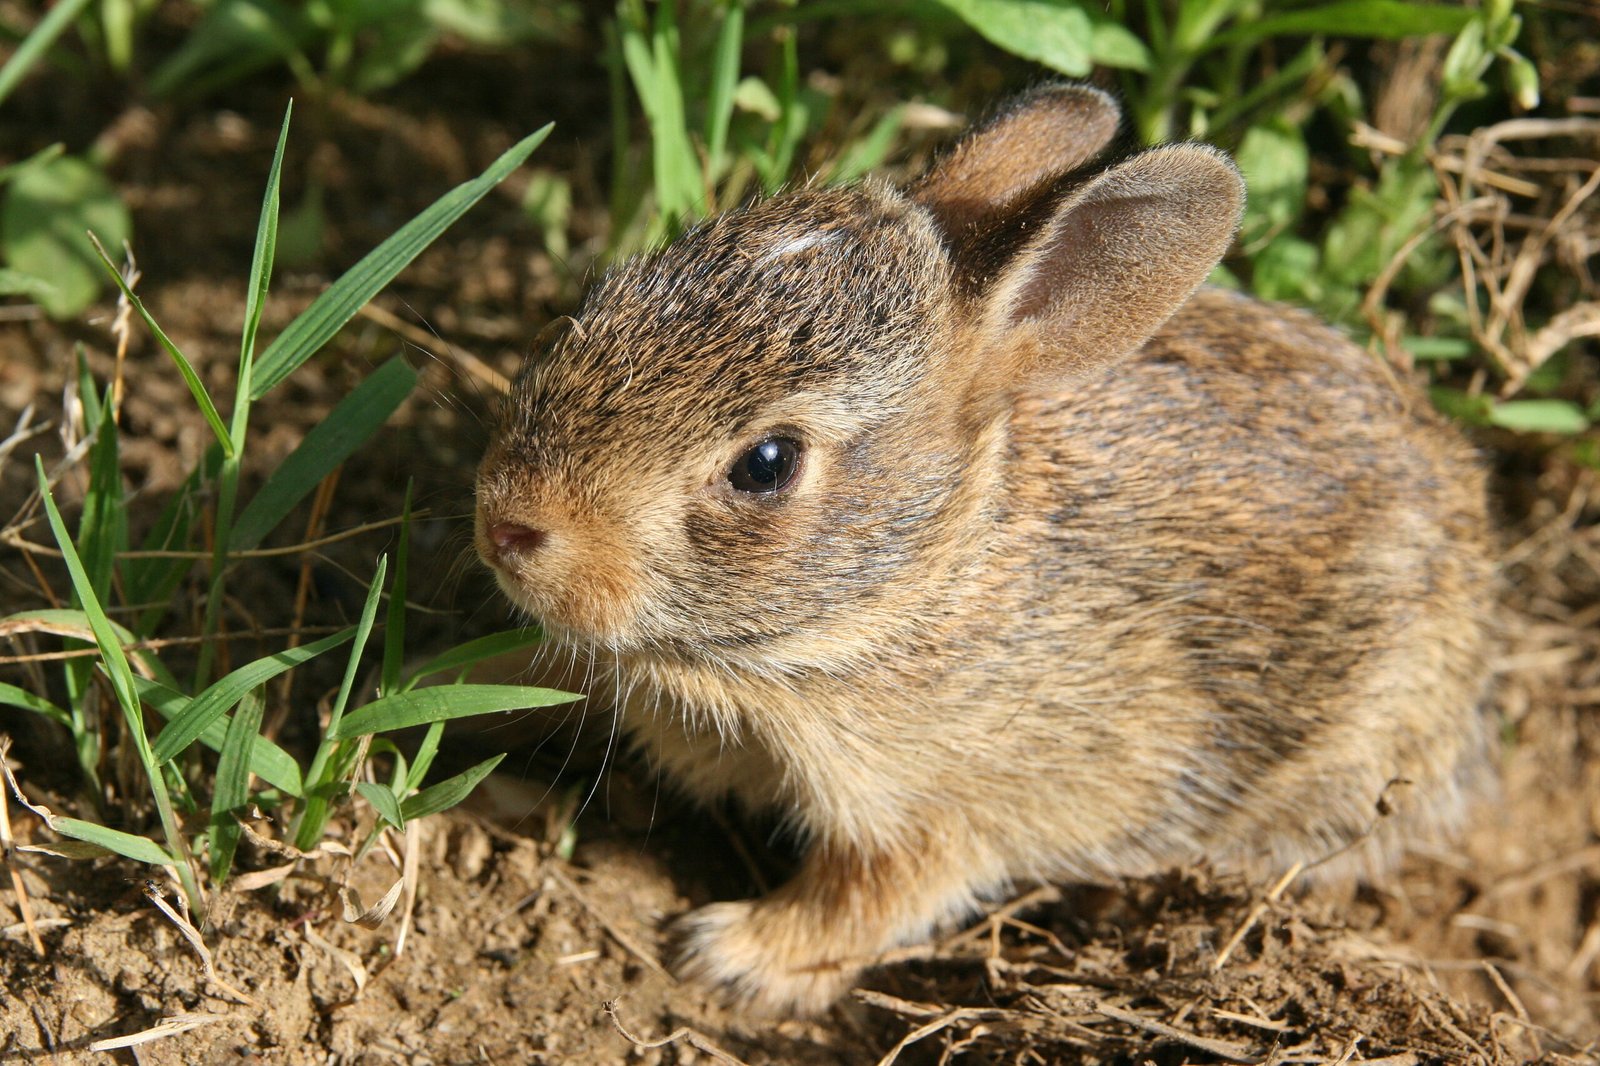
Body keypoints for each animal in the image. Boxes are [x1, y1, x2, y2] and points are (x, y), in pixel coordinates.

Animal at [474, 83, 1497, 1016]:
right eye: (598, 300)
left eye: (767, 464)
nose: (508, 522)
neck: (909, 587)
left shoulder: (948, 809)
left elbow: (868, 897)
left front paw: (732, 956)